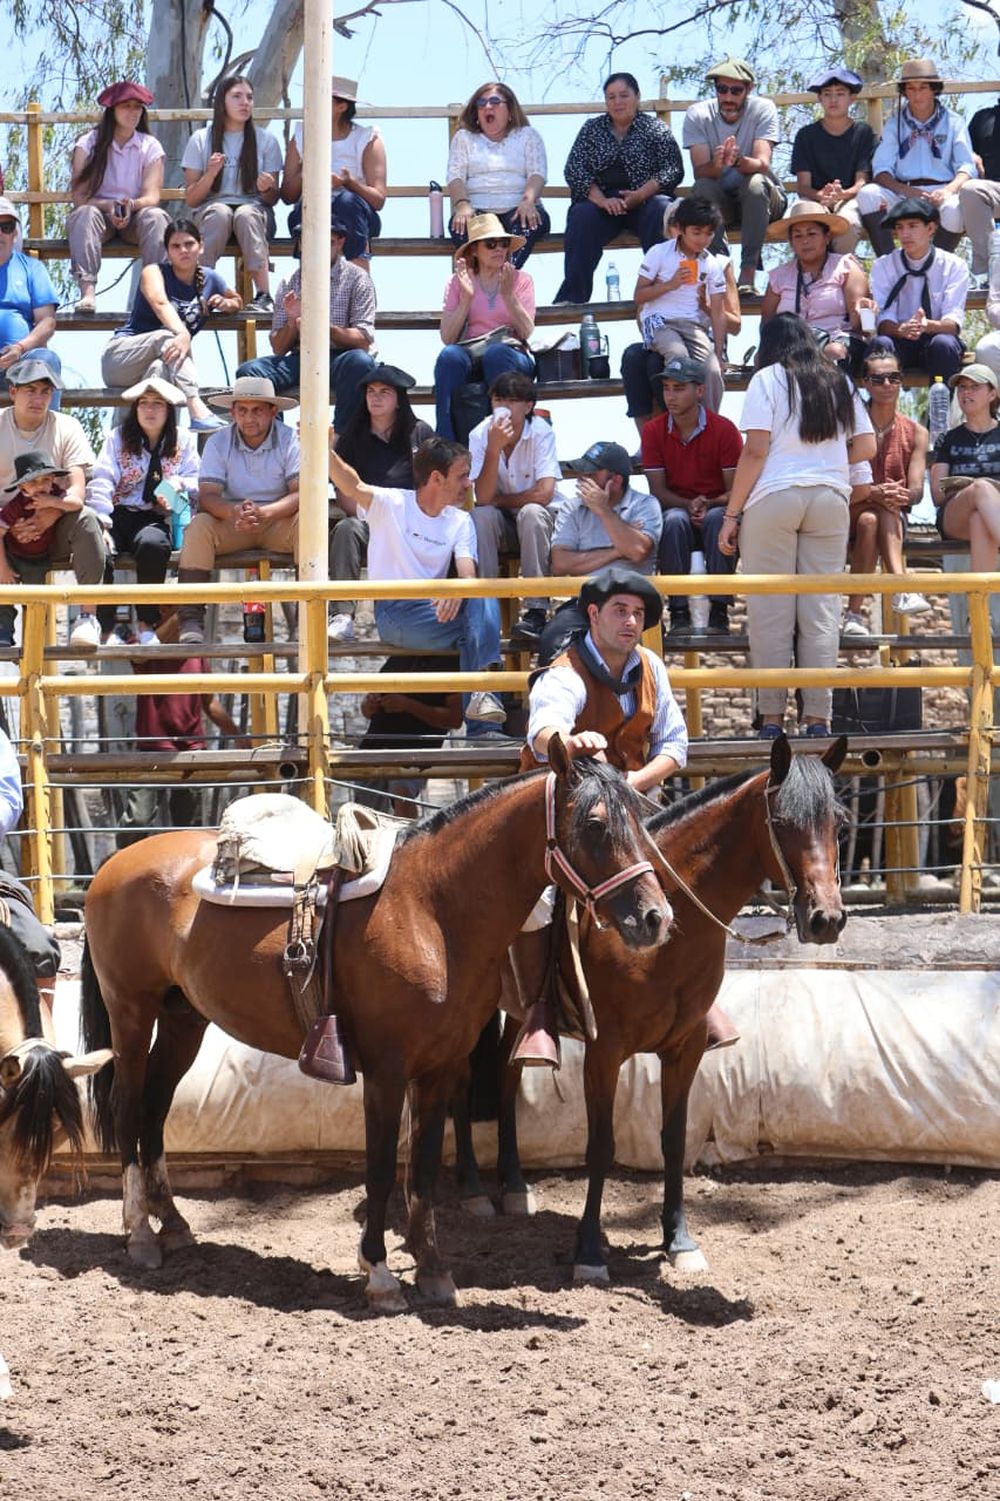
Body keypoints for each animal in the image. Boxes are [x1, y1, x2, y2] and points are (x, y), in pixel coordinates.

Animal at [80, 736, 674, 1311]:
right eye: (594, 825)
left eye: (642, 822)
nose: (656, 919)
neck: (432, 910)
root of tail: (114, 864)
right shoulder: (387, 1072)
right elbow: (384, 1167)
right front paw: (381, 1276)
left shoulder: (439, 1069)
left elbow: (425, 1169)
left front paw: (434, 1273)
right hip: (131, 1012)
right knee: (128, 1110)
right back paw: (140, 1235)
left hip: (184, 1019)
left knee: (155, 1109)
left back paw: (175, 1224)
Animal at [453, 733, 848, 1283]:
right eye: (784, 821)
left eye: (841, 823)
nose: (826, 918)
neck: (671, 937)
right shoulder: (605, 1052)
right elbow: (601, 1145)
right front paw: (589, 1251)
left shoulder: (685, 1048)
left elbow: (674, 1140)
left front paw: (678, 1239)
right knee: (461, 1087)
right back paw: (472, 1190)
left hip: (523, 1017)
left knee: (508, 1078)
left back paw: (513, 1185)